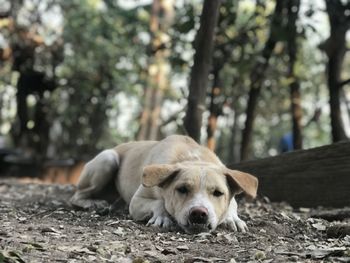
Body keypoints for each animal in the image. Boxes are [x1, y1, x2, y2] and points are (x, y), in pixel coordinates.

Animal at [70, 135, 258, 234]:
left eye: (218, 193)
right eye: (182, 189)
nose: (198, 213)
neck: (193, 158)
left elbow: (232, 204)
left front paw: (232, 218)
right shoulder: (137, 201)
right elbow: (159, 203)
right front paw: (162, 216)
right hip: (108, 159)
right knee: (77, 195)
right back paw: (93, 203)